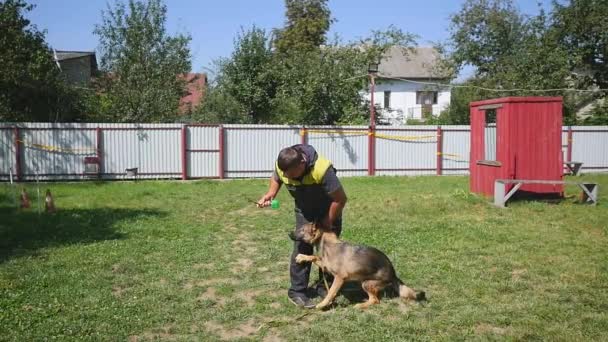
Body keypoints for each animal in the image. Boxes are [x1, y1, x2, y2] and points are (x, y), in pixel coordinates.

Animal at [294, 222, 426, 310]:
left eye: (301, 230)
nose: (290, 233)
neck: (328, 244)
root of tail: (393, 274)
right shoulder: (326, 265)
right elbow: (314, 257)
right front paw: (301, 257)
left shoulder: (339, 278)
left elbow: (331, 292)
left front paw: (323, 304)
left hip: (366, 283)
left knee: (375, 300)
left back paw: (360, 305)